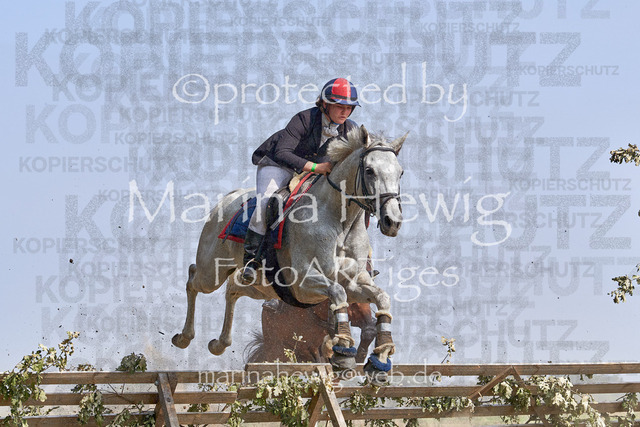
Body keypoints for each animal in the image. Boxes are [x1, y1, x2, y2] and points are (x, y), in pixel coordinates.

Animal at [172, 125, 406, 382]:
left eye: (400, 173)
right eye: (369, 170)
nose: (392, 222)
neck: (340, 223)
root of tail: (228, 198)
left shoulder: (354, 283)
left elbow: (381, 298)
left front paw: (380, 357)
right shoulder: (303, 282)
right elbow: (338, 293)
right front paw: (344, 351)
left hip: (261, 288)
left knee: (232, 289)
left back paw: (219, 344)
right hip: (212, 271)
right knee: (193, 278)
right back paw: (183, 337)